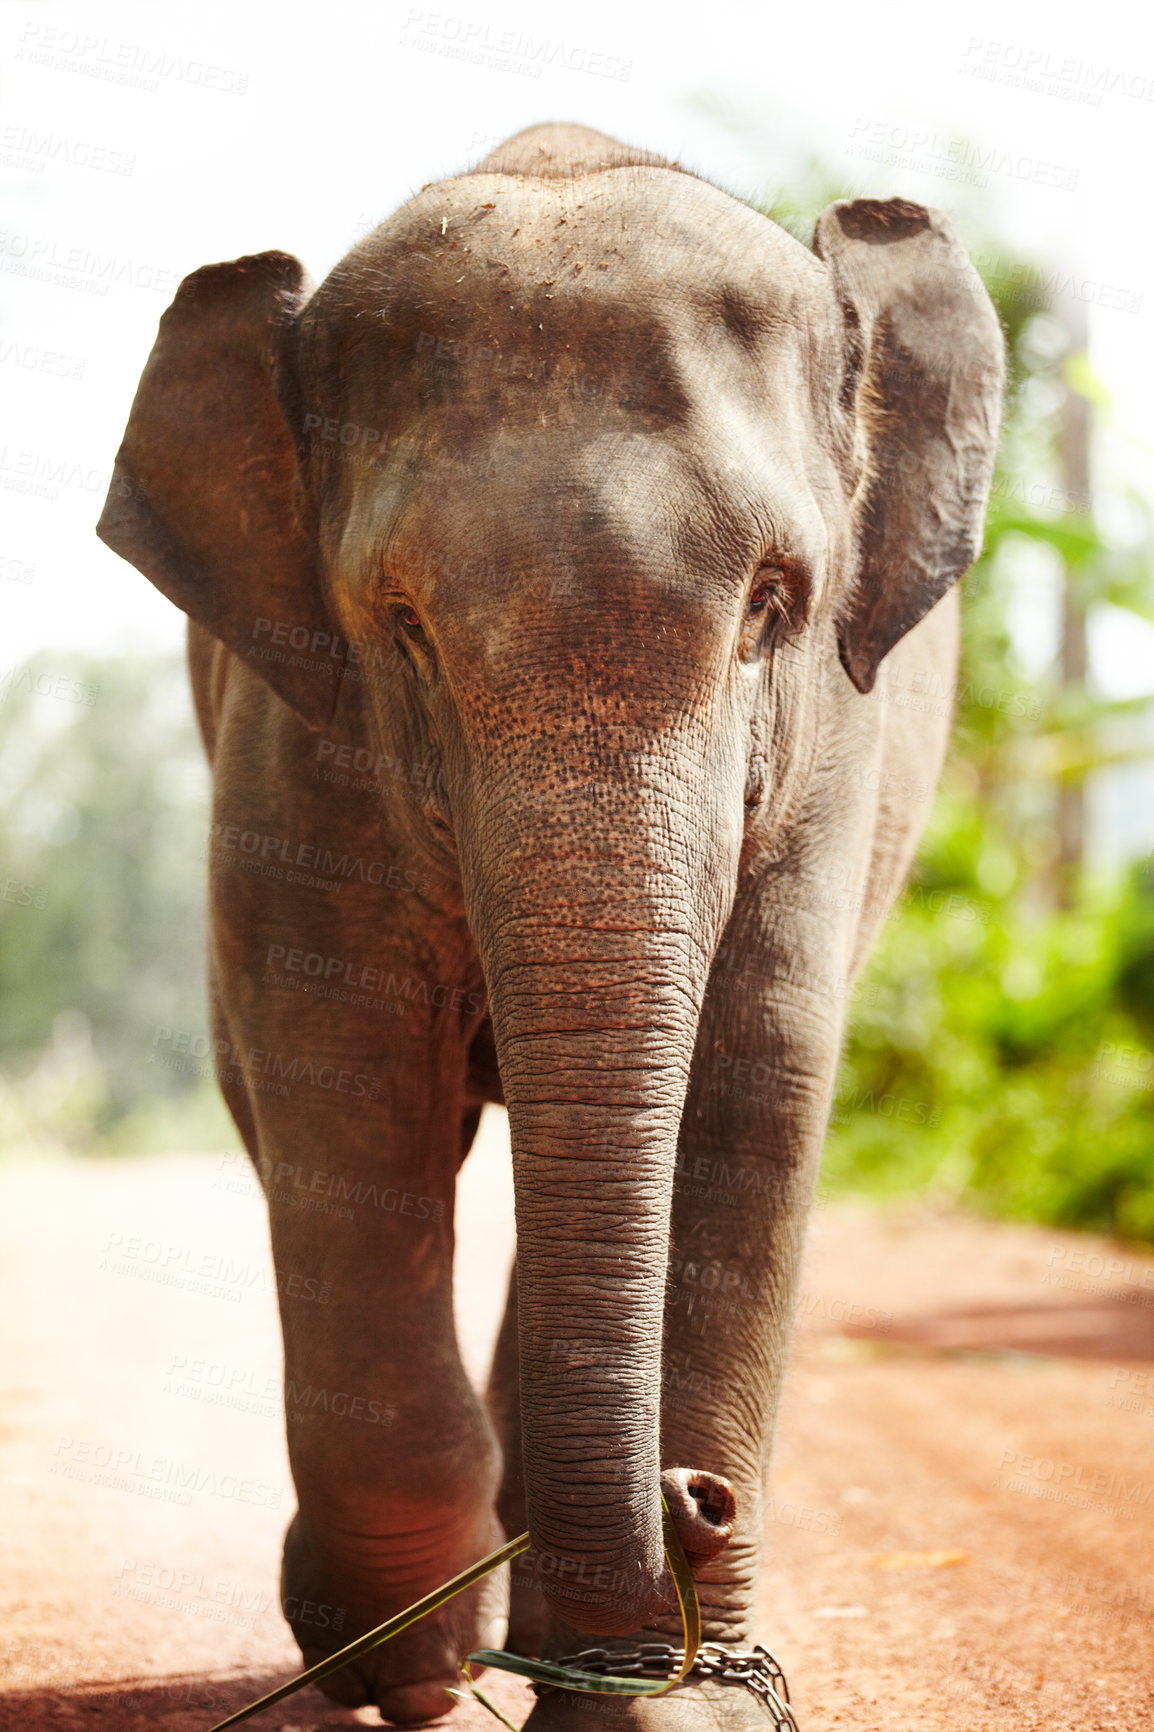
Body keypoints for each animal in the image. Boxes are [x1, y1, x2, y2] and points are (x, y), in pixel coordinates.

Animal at [96, 125, 998, 1732]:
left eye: (773, 607)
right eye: (400, 626)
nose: (693, 1498)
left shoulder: (830, 753)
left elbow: (751, 1085)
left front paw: (661, 1707)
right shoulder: (297, 740)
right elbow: (345, 1090)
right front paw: (403, 1668)